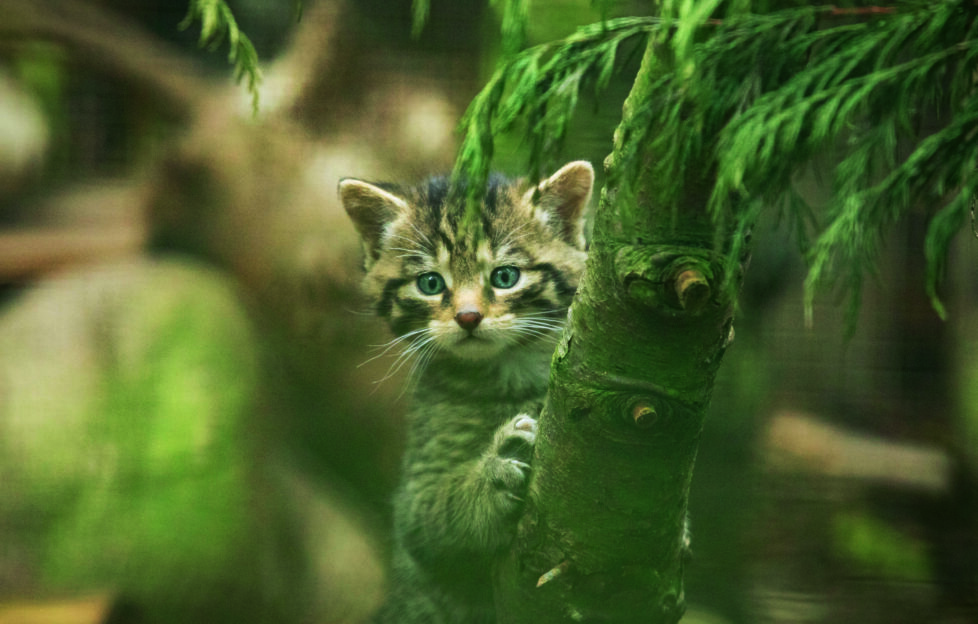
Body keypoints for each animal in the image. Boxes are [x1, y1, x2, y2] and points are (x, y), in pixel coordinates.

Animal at [340, 162, 592, 624]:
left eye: (505, 276)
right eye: (430, 283)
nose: (468, 316)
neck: (506, 375)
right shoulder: (414, 503)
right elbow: (437, 514)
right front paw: (492, 475)